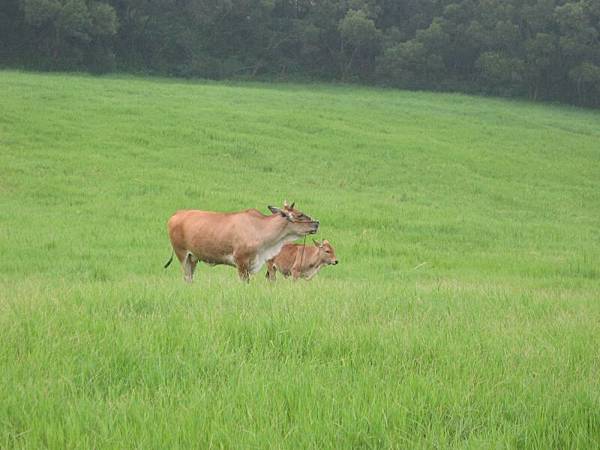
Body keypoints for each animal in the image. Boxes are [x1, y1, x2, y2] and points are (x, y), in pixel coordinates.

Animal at [164, 202, 318, 284]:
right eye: (299, 215)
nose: (317, 223)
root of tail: (176, 214)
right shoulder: (241, 261)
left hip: (193, 257)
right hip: (182, 254)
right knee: (186, 275)